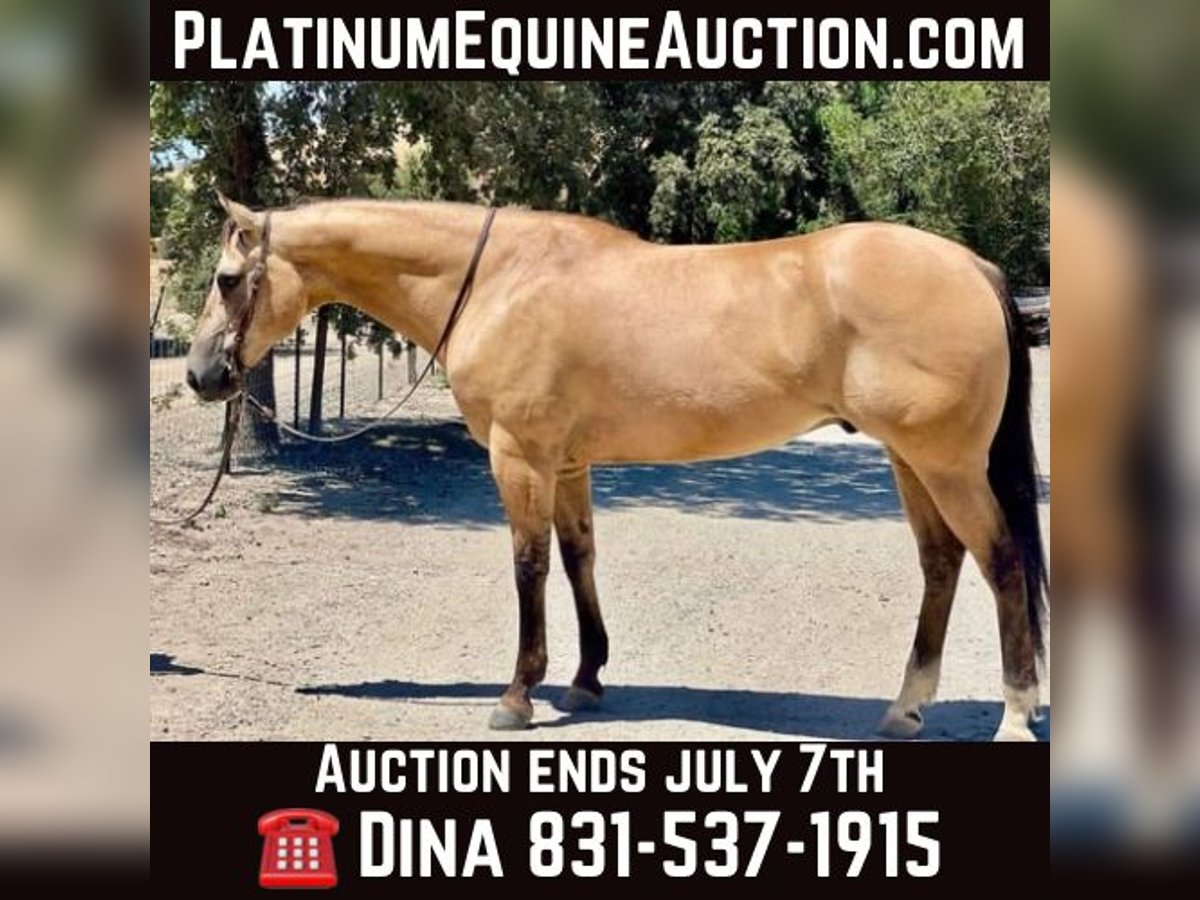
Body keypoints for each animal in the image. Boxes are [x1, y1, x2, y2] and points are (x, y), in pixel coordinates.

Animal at [185, 194, 1048, 741]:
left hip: (945, 463)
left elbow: (529, 566)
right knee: (942, 563)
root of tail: (974, 267)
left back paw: (1013, 714)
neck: (498, 281)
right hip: (911, 459)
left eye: (227, 280)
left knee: (1000, 561)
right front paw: (586, 679)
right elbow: (578, 560)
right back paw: (905, 709)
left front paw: (518, 694)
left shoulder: (520, 456)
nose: (199, 376)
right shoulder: (567, 465)